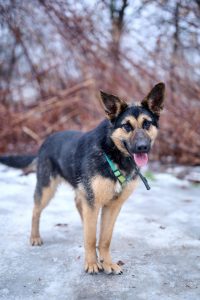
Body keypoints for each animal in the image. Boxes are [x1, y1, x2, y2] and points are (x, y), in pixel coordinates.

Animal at [0, 82, 165, 274]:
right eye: (127, 126)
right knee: (36, 211)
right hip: (47, 189)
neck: (112, 153)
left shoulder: (112, 206)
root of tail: (46, 141)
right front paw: (92, 263)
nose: (142, 147)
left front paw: (107, 262)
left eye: (147, 124)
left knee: (79, 205)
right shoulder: (93, 202)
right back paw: (35, 237)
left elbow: (105, 238)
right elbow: (91, 237)